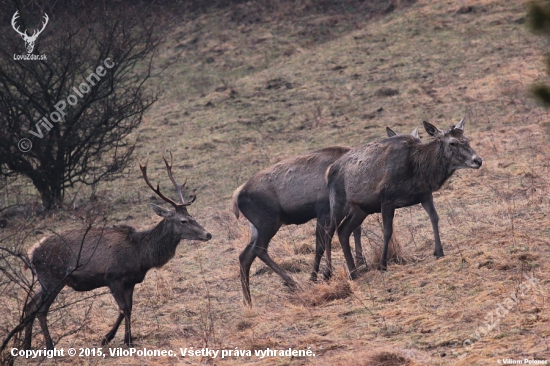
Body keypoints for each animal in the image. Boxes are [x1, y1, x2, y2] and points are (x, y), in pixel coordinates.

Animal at [23, 154, 211, 348]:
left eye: (192, 217)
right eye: (183, 221)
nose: (208, 234)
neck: (141, 255)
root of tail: (30, 253)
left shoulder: (131, 281)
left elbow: (128, 308)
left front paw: (113, 338)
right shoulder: (113, 277)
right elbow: (124, 309)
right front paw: (123, 340)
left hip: (45, 280)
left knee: (29, 306)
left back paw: (27, 345)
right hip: (52, 277)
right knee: (40, 309)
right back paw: (49, 346)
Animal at [233, 127, 418, 304]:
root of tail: (237, 197)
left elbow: (354, 232)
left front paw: (360, 263)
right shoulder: (323, 211)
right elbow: (321, 244)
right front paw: (318, 275)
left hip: (258, 227)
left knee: (245, 255)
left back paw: (248, 300)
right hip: (268, 221)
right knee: (259, 250)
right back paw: (292, 282)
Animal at [328, 118, 484, 276]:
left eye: (467, 139)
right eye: (452, 142)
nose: (478, 160)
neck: (420, 171)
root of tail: (329, 171)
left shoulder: (425, 195)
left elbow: (434, 218)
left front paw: (439, 252)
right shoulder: (386, 198)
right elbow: (387, 231)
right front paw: (382, 265)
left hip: (361, 209)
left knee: (343, 231)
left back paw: (353, 272)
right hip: (338, 202)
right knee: (329, 231)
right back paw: (327, 273)